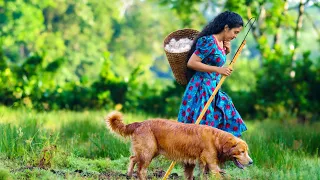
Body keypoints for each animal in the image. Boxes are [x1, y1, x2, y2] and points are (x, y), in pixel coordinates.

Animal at [105, 111, 252, 179]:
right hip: (148, 152)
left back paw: (128, 174)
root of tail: (140, 123)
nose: (251, 162)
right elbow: (216, 174)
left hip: (150, 151)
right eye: (242, 151)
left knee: (133, 158)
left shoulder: (191, 163)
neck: (217, 140)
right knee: (141, 170)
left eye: (246, 151)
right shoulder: (210, 162)